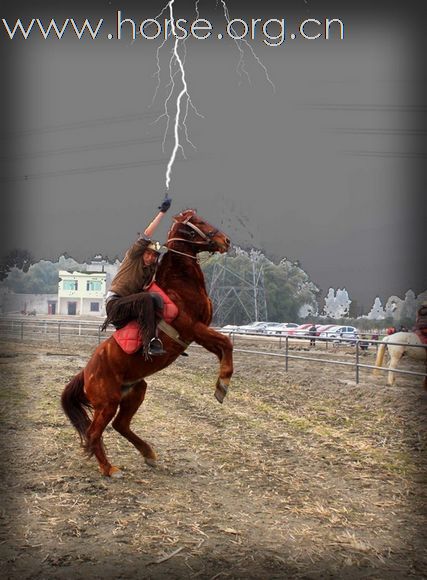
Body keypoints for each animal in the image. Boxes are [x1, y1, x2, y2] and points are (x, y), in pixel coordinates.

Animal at [61, 211, 232, 478]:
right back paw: (109, 468)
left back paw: (148, 454)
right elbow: (226, 342)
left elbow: (223, 348)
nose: (226, 241)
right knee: (94, 432)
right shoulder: (194, 329)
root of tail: (85, 372)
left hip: (135, 391)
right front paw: (222, 386)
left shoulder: (198, 335)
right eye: (199, 222)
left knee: (120, 425)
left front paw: (221, 383)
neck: (179, 286)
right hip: (107, 404)